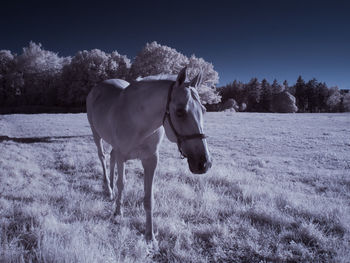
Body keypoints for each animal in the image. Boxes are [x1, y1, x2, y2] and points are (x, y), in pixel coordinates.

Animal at [86, 67, 212, 242]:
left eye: (204, 111)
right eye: (180, 112)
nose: (204, 163)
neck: (138, 120)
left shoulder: (151, 159)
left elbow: (148, 197)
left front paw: (150, 235)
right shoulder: (122, 156)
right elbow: (122, 183)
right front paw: (118, 211)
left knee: (110, 157)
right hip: (96, 134)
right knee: (103, 157)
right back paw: (109, 189)